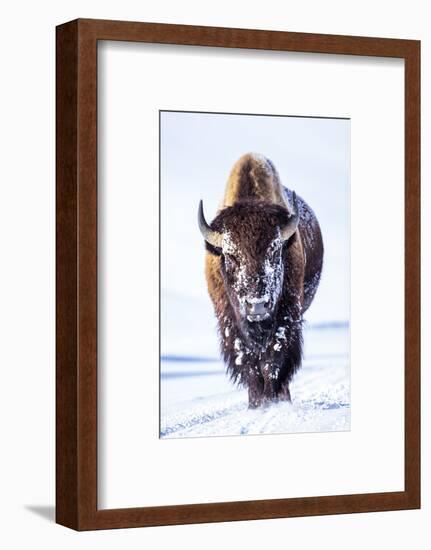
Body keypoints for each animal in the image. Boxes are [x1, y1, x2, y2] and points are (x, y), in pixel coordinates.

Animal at [199, 153, 324, 408]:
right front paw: (257, 404)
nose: (256, 305)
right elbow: (248, 363)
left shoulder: (287, 315)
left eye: (275, 252)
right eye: (230, 255)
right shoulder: (229, 321)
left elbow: (274, 359)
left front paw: (274, 400)